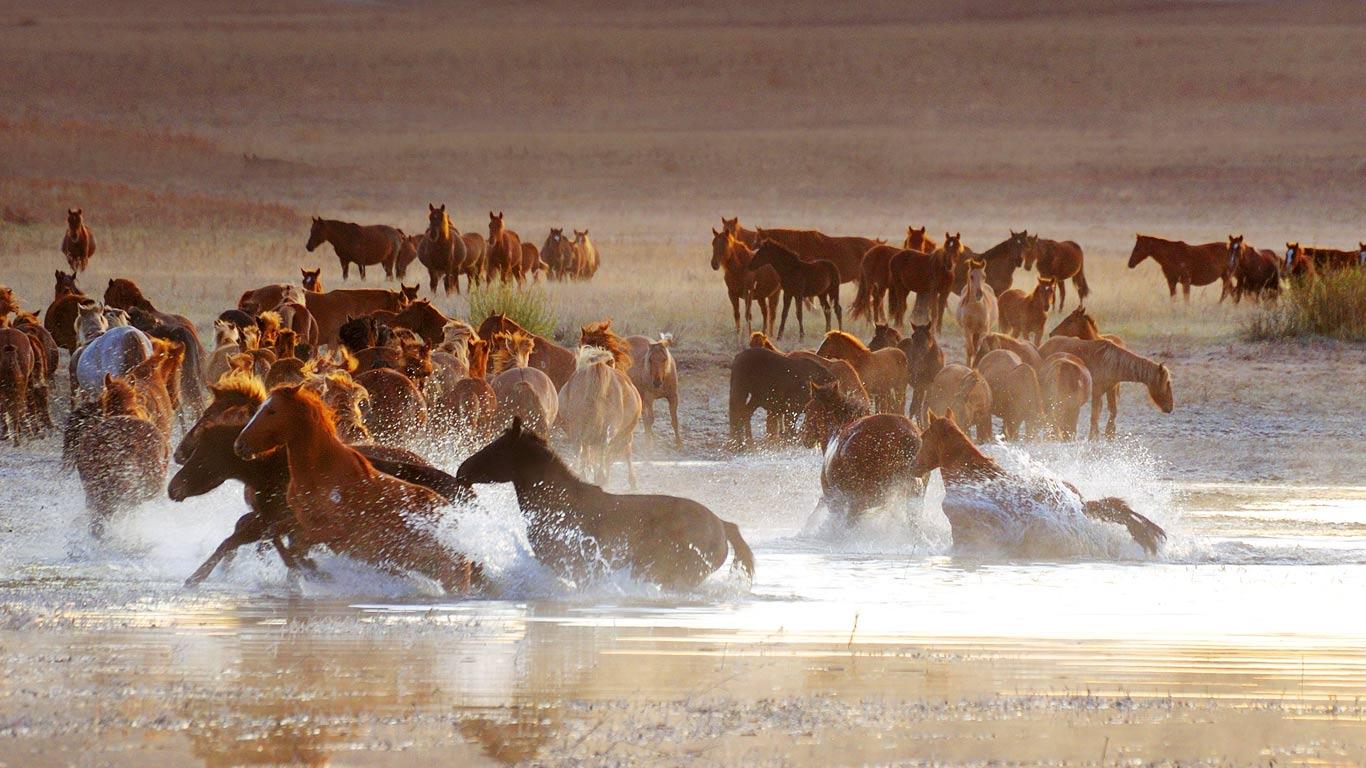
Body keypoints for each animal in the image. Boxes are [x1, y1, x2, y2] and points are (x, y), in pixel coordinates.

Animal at [234, 385, 479, 593]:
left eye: (272, 411)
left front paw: (314, 571)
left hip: (450, 573)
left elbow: (294, 547)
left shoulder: (333, 531)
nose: (239, 445)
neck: (320, 474)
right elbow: (275, 534)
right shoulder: (298, 523)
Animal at [557, 346, 642, 487]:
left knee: (580, 449)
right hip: (610, 427)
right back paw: (601, 477)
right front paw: (632, 481)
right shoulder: (625, 433)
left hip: (577, 427)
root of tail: (597, 368)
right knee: (604, 447)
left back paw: (583, 475)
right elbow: (623, 452)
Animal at [1037, 337, 1173, 439]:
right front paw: (1093, 437)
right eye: (1167, 383)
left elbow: (1112, 411)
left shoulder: (1110, 389)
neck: (1111, 363)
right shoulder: (1097, 392)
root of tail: (1042, 347)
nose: (1170, 408)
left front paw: (1109, 434)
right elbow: (1094, 416)